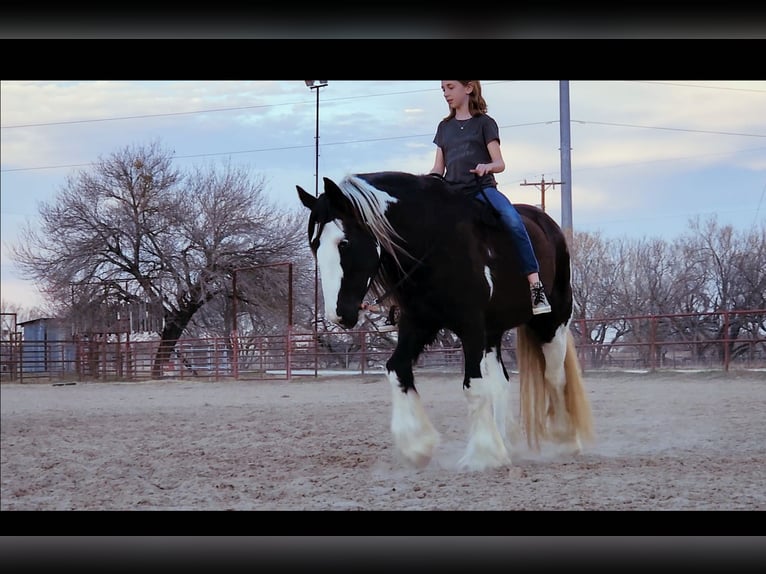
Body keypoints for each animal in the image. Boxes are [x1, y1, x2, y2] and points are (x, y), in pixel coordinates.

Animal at [298, 171, 592, 472]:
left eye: (343, 243)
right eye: (315, 245)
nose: (338, 314)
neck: (433, 243)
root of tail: (548, 225)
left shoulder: (471, 327)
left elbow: (473, 387)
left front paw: (482, 455)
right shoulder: (419, 323)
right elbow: (396, 369)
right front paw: (418, 446)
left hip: (553, 322)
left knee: (555, 376)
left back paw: (565, 440)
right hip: (494, 333)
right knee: (502, 382)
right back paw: (508, 443)